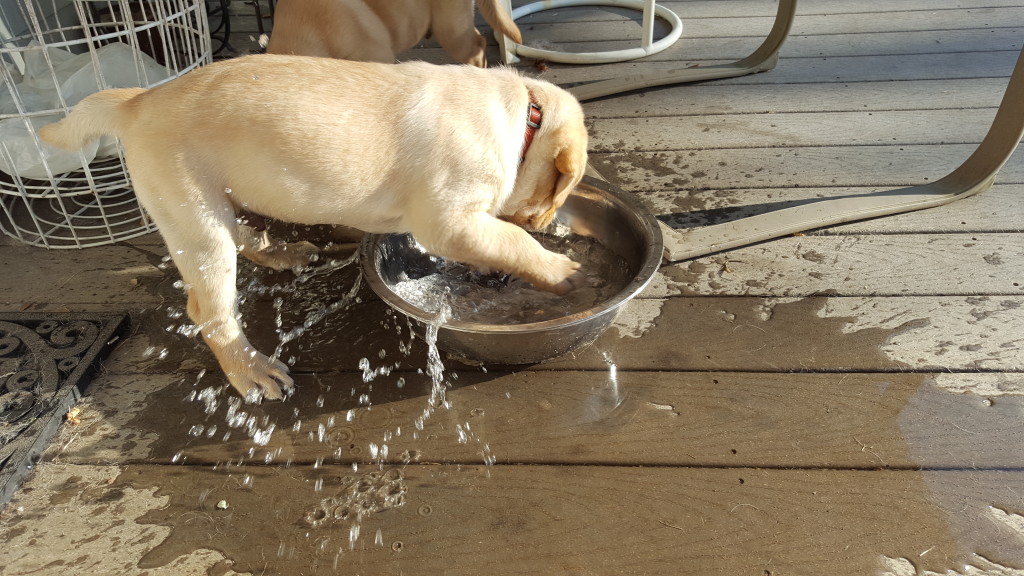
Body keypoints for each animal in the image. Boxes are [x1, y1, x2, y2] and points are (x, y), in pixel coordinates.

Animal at [39, 56, 589, 401]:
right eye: (560, 190)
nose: (549, 221)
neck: (524, 119)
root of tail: (135, 101)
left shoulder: (460, 223)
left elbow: (496, 240)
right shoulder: (447, 220)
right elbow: (512, 240)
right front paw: (561, 270)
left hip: (219, 201)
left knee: (244, 235)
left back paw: (282, 252)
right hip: (195, 219)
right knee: (210, 311)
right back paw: (252, 371)